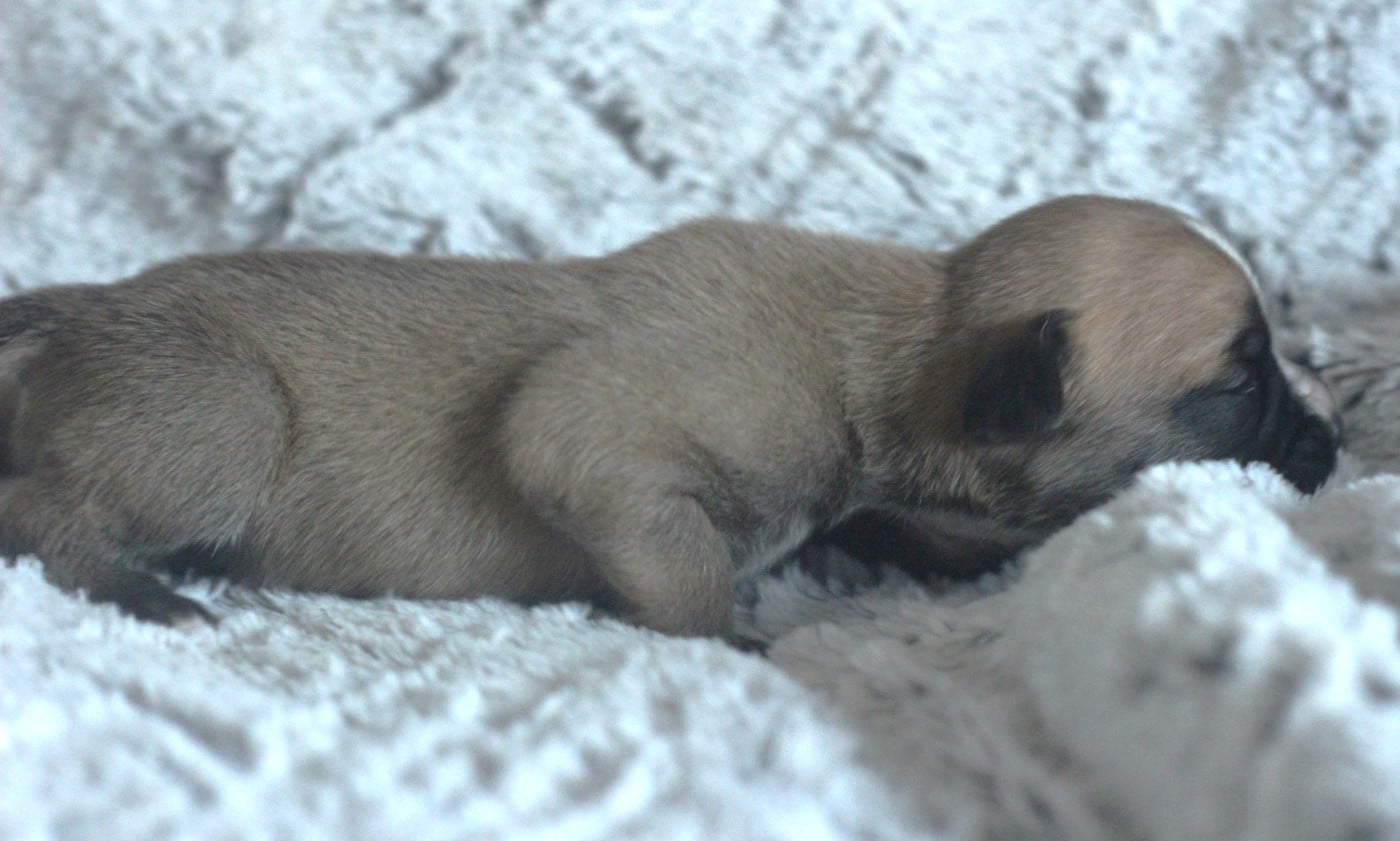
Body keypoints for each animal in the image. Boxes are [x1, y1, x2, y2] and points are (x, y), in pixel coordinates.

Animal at [0, 196, 1339, 635]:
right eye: (1237, 381)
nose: (1333, 435)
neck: (900, 348)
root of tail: (76, 314)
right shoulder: (590, 438)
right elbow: (685, 570)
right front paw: (728, 641)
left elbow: (881, 527)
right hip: (220, 421)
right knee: (49, 517)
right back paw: (143, 593)